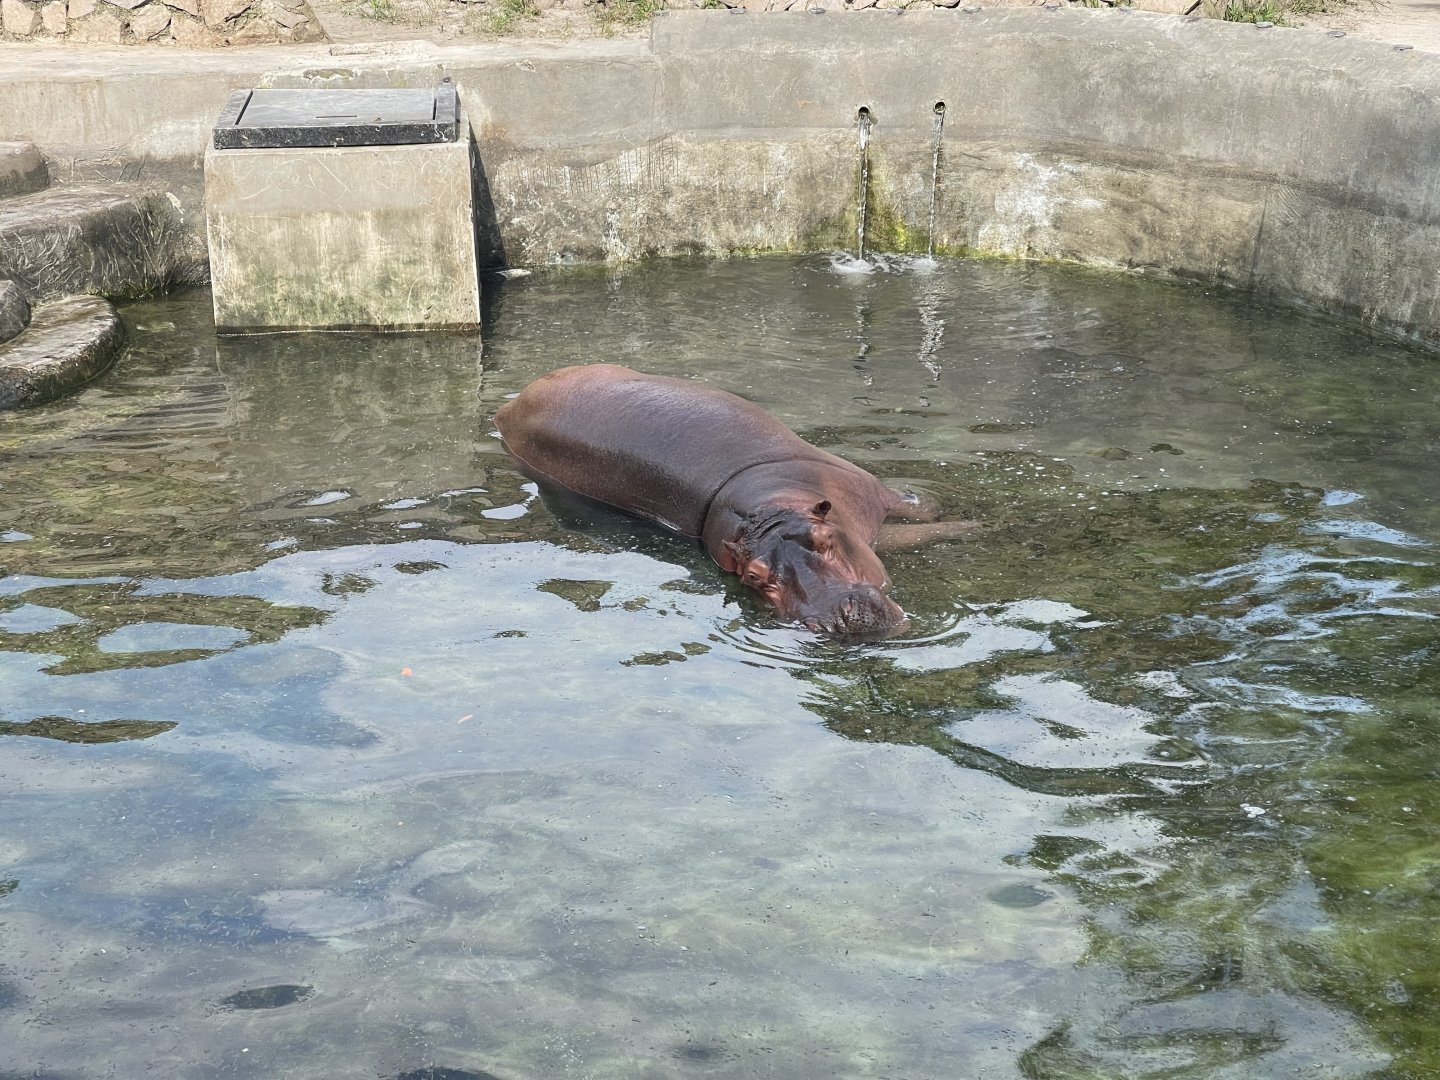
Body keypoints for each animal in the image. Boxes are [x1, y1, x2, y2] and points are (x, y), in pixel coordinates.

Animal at [495, 363, 969, 639]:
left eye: (825, 540)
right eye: (756, 578)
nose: (843, 617)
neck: (769, 514)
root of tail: (509, 407)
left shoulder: (866, 491)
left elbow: (921, 511)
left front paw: (968, 523)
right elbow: (912, 535)